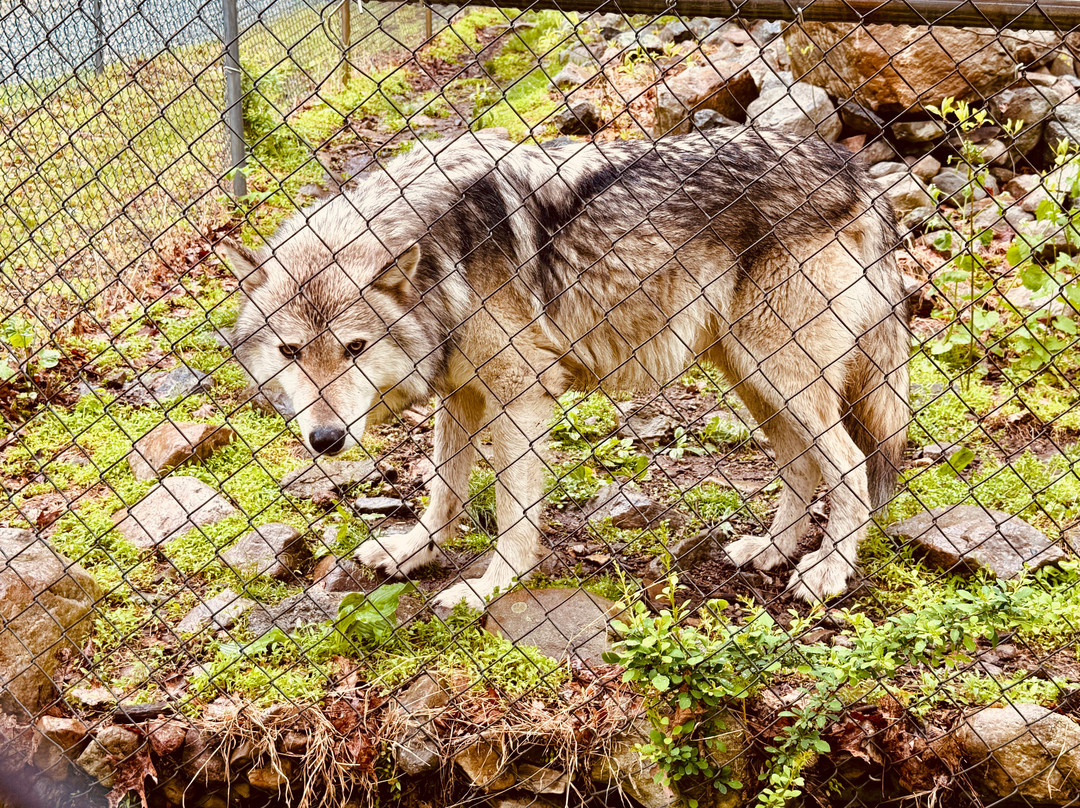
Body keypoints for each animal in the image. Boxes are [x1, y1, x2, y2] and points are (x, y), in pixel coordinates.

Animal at [225, 127, 909, 609]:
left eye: (355, 348)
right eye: (291, 352)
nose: (325, 439)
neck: (441, 259)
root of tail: (857, 174)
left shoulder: (521, 395)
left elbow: (510, 511)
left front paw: (492, 587)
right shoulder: (460, 394)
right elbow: (444, 490)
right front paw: (415, 551)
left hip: (781, 372)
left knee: (849, 467)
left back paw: (826, 573)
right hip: (754, 375)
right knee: (801, 465)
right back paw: (768, 550)